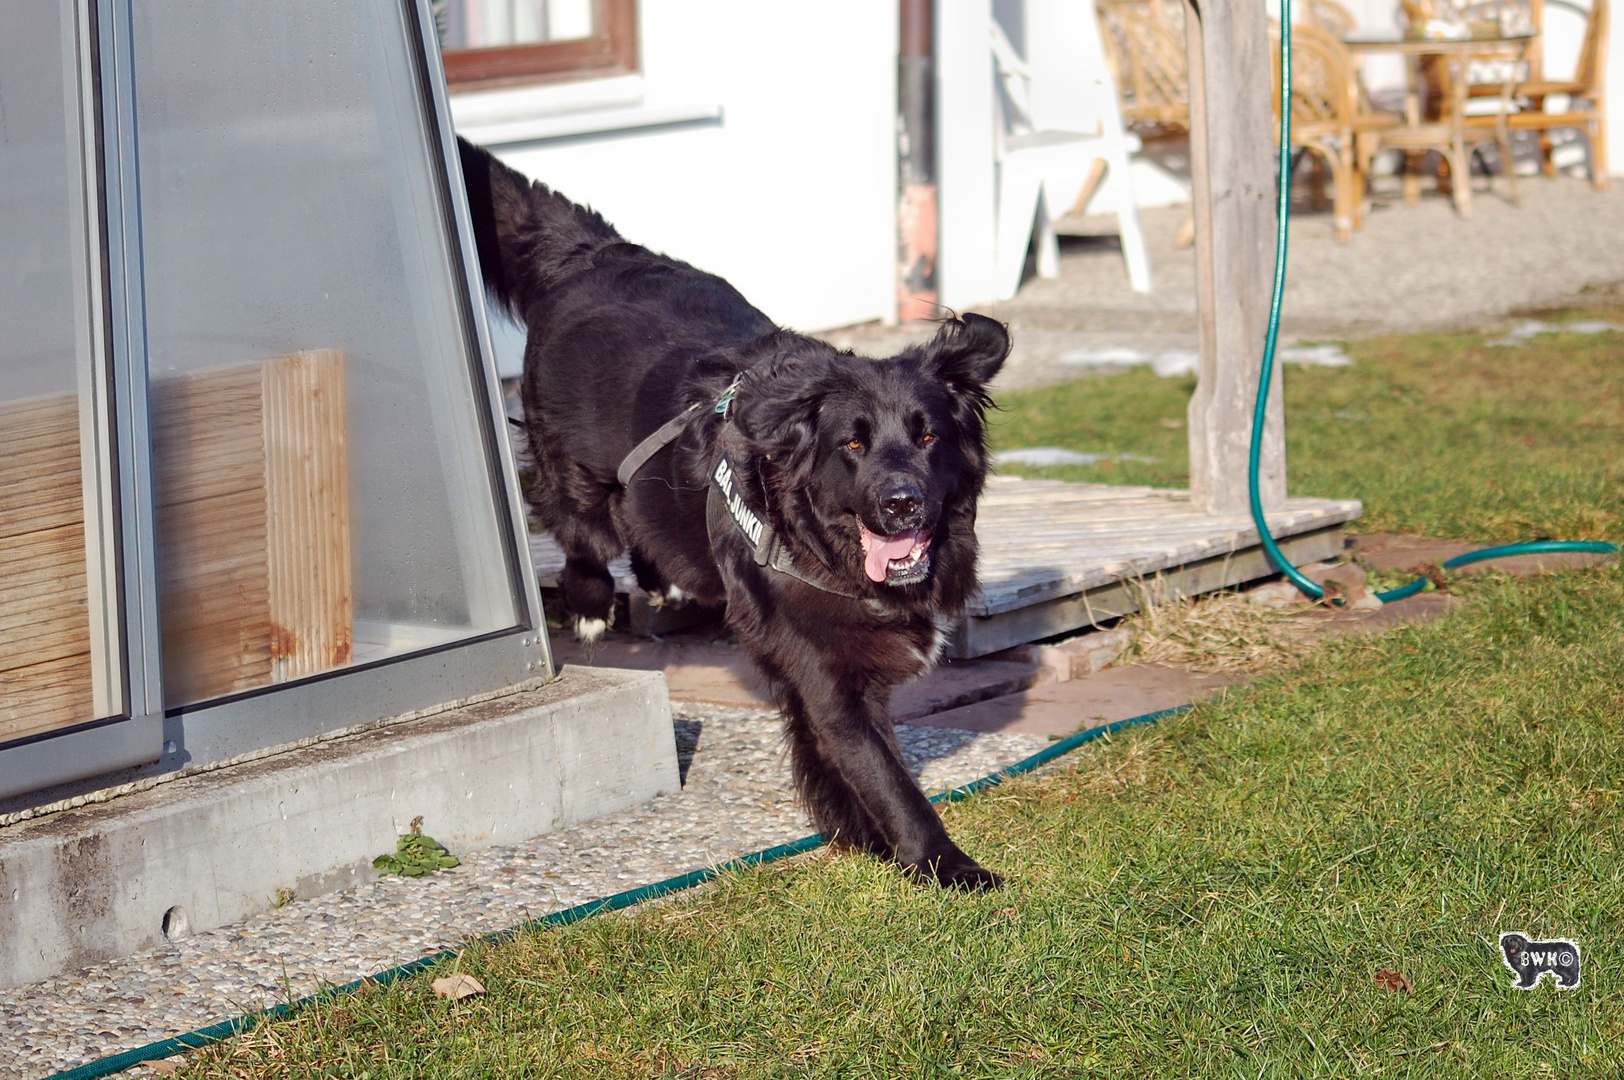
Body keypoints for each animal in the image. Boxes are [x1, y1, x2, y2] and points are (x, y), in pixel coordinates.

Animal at [457, 138, 1006, 889]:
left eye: (928, 438)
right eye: (853, 445)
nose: (901, 503)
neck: (819, 542)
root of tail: (596, 256)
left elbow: (841, 761)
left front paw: (862, 837)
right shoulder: (827, 674)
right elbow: (888, 778)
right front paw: (943, 865)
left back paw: (664, 581)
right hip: (570, 464)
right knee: (581, 527)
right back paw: (594, 605)